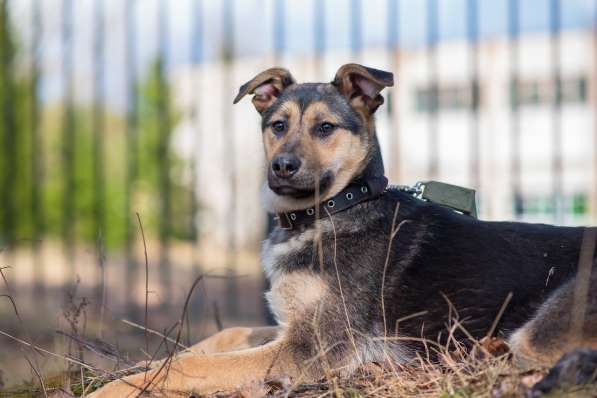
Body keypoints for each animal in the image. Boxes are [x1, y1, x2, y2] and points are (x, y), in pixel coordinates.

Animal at [89, 63, 596, 396]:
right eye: (277, 126)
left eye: (326, 128)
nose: (281, 167)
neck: (333, 208)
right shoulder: (292, 326)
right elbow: (223, 336)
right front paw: (144, 362)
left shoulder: (310, 348)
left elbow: (193, 365)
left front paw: (120, 386)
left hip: (537, 332)